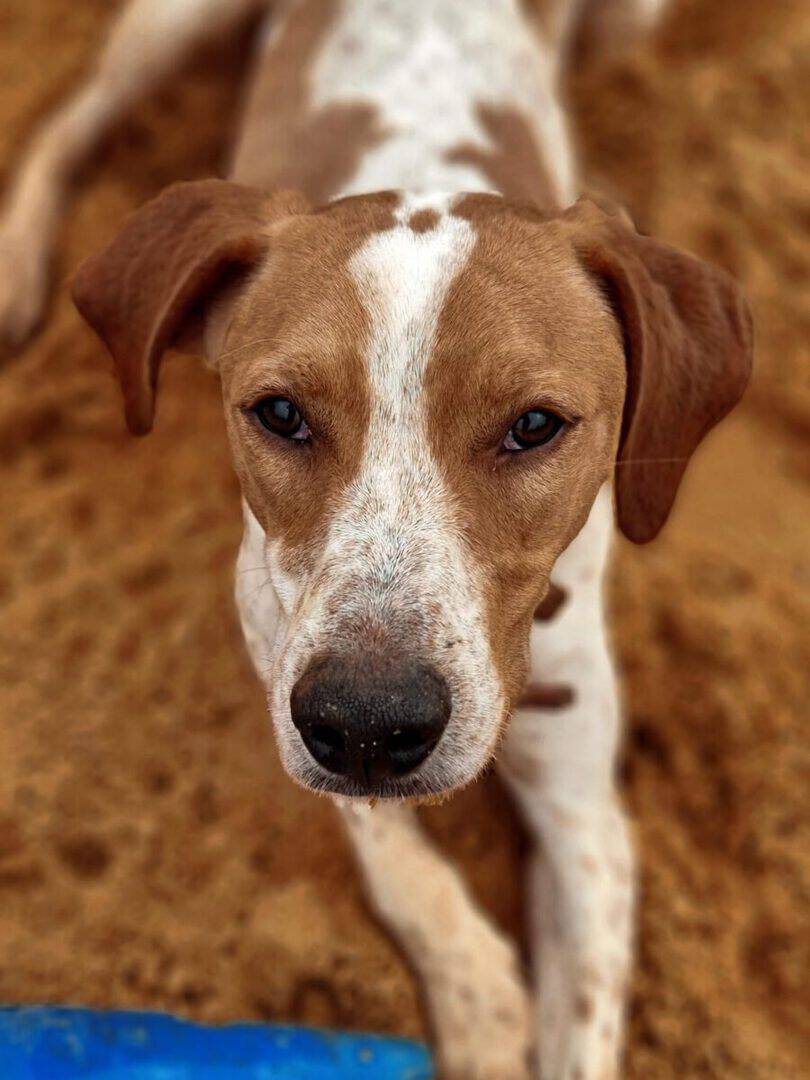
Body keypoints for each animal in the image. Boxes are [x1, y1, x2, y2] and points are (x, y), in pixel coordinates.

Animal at [0, 1, 752, 1076]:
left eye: (535, 426)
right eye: (278, 413)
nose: (366, 723)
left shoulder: (585, 815)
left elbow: (584, 1012)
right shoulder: (275, 642)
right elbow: (395, 857)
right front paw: (478, 1000)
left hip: (626, 23)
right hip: (170, 23)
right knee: (71, 118)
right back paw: (17, 262)